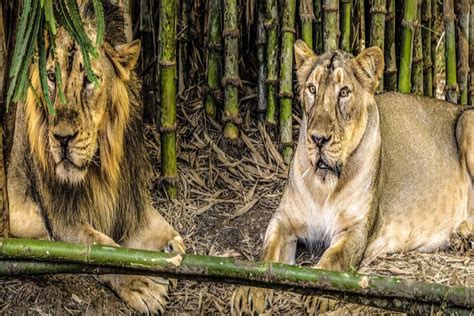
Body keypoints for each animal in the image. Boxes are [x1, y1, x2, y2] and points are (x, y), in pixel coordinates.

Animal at [7, 1, 185, 314]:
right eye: (51, 77)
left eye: (90, 80)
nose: (62, 138)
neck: (98, 167)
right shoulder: (63, 222)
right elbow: (104, 249)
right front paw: (142, 284)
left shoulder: (131, 197)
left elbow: (162, 230)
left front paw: (170, 247)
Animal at [233, 40, 474, 314]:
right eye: (312, 89)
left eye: (344, 92)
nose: (318, 139)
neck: (324, 182)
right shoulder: (283, 220)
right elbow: (267, 254)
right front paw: (249, 291)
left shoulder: (356, 229)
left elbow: (335, 258)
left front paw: (321, 289)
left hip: (466, 121)